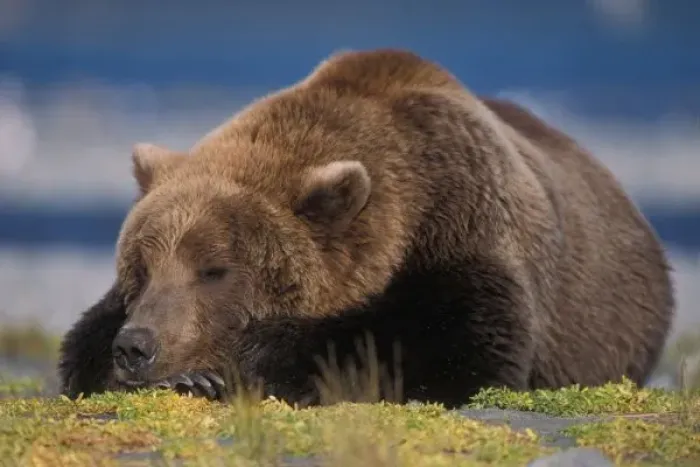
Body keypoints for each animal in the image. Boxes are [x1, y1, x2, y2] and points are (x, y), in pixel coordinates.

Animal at [57, 48, 675, 409]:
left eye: (215, 269)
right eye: (140, 268)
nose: (137, 346)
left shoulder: (464, 226)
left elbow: (450, 348)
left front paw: (235, 366)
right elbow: (80, 346)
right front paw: (168, 374)